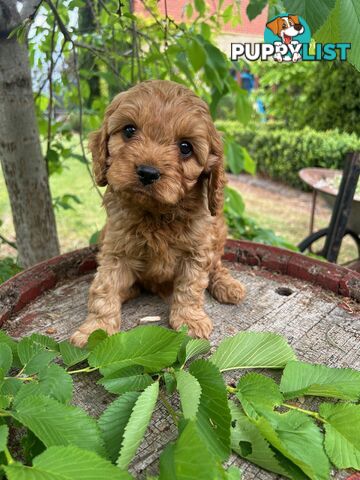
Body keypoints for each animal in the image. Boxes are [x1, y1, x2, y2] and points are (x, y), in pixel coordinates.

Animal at [70, 80, 245, 346]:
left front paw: (190, 320)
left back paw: (228, 286)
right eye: (129, 130)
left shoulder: (197, 250)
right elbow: (104, 286)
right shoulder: (116, 250)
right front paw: (96, 330)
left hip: (217, 234)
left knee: (216, 265)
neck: (157, 214)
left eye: (185, 147)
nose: (147, 172)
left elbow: (191, 285)